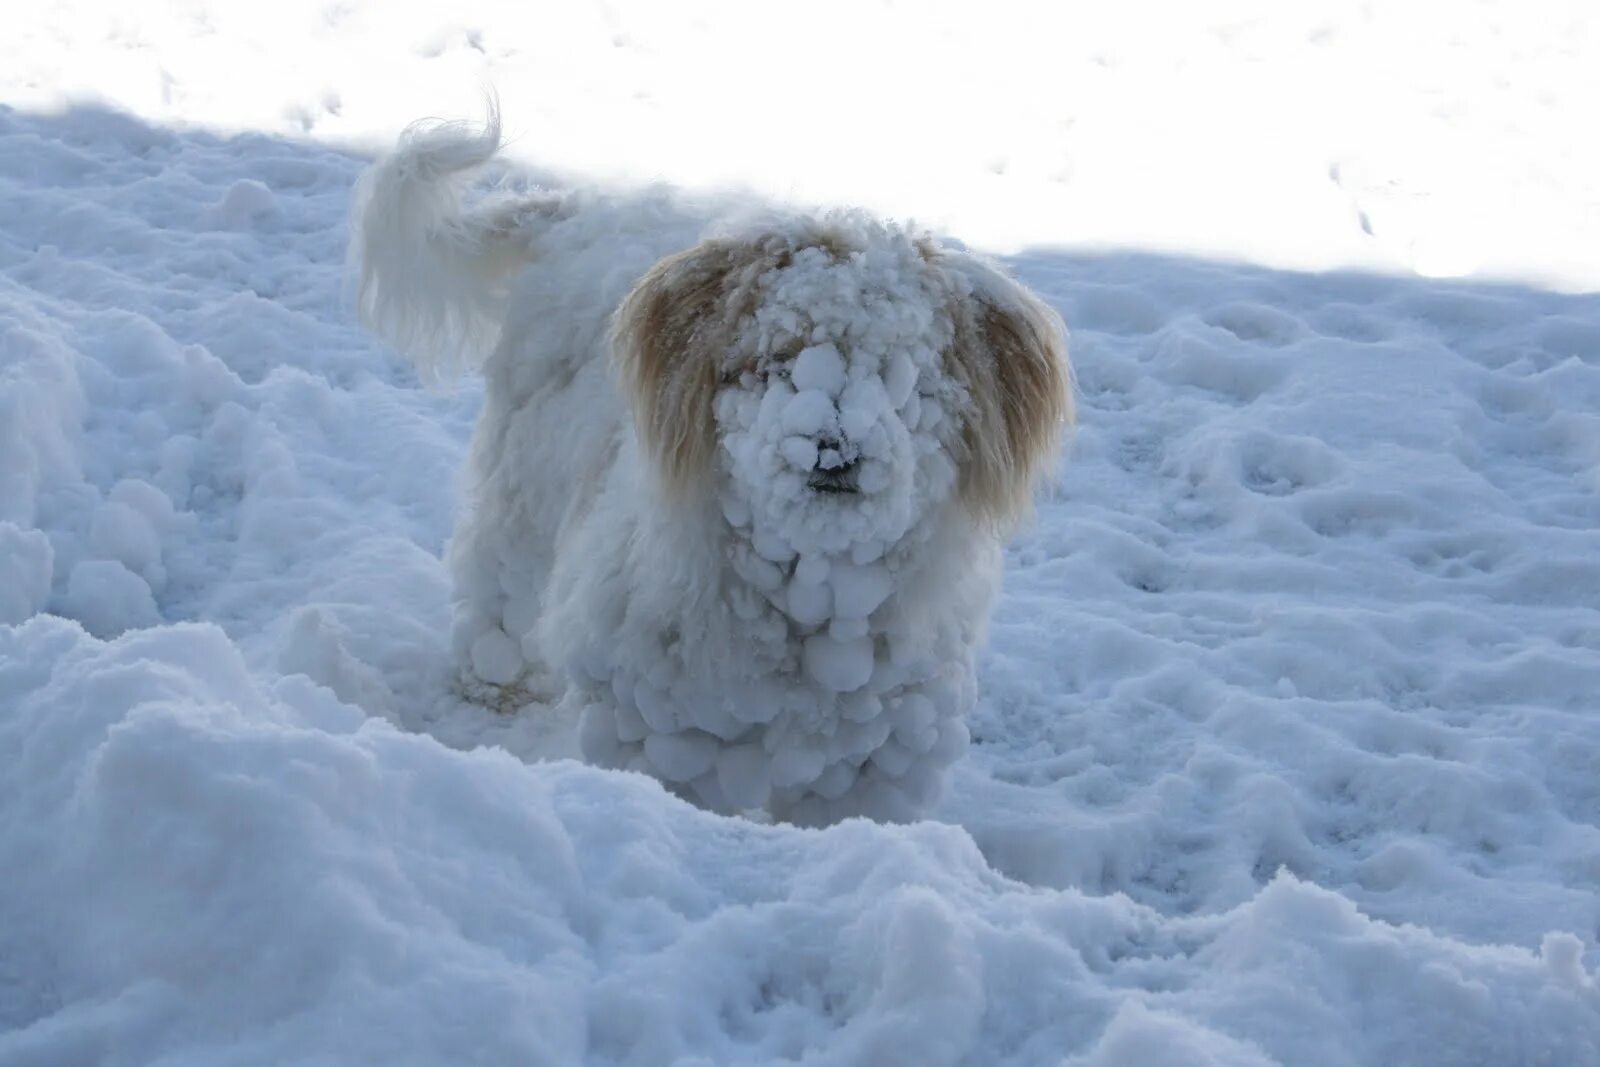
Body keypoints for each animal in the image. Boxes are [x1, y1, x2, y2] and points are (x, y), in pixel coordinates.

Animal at [353, 110, 1075, 825]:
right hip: (527, 480)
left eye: (904, 372)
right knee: (499, 592)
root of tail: (573, 209)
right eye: (778, 358)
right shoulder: (654, 720)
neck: (807, 592)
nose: (834, 447)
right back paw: (489, 692)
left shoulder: (878, 756)